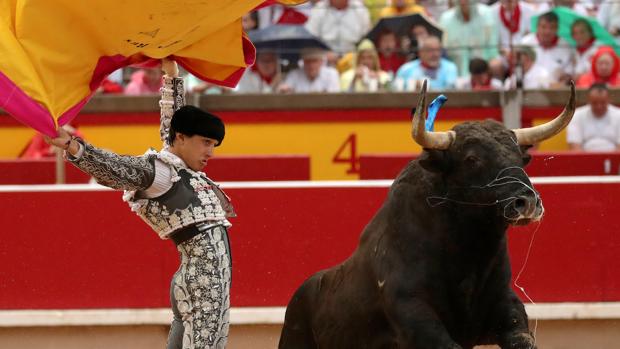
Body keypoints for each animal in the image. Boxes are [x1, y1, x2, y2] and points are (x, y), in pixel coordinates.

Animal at [278, 79, 576, 348]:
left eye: (520, 157)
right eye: (471, 159)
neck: (469, 253)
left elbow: (521, 338)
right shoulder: (414, 316)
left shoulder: (505, 304)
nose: (527, 202)